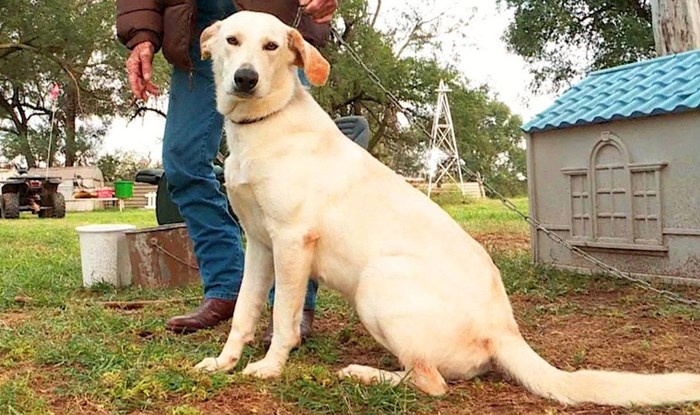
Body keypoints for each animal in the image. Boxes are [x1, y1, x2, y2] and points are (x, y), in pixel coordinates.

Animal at [193, 10, 700, 410]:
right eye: (232, 41)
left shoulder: (292, 242)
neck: (262, 126)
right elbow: (243, 314)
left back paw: (364, 373)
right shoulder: (260, 245)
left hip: (377, 282)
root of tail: (504, 330)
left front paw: (270, 367)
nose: (245, 79)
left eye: (272, 46)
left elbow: (283, 319)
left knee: (429, 380)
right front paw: (223, 361)